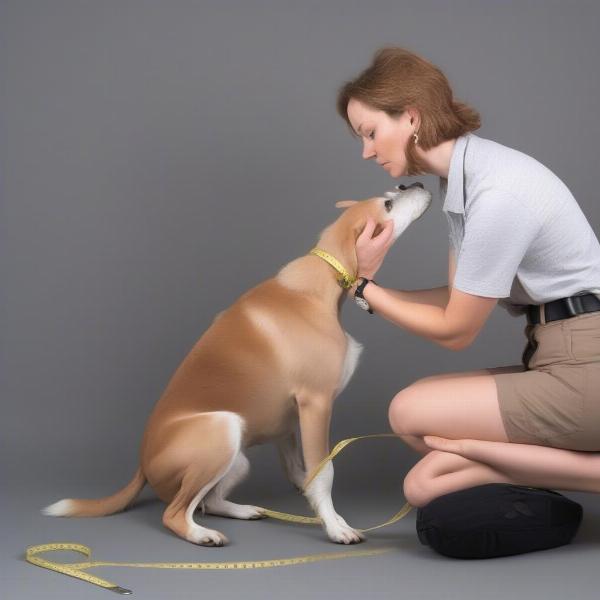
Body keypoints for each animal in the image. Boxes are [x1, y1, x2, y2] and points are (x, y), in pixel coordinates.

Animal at [41, 185, 432, 548]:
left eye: (393, 192)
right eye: (388, 204)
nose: (415, 183)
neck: (319, 282)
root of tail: (142, 464)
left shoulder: (288, 423)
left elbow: (303, 474)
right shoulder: (315, 404)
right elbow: (323, 473)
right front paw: (336, 528)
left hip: (237, 457)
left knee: (208, 501)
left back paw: (242, 510)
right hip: (222, 429)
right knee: (175, 512)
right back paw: (201, 535)